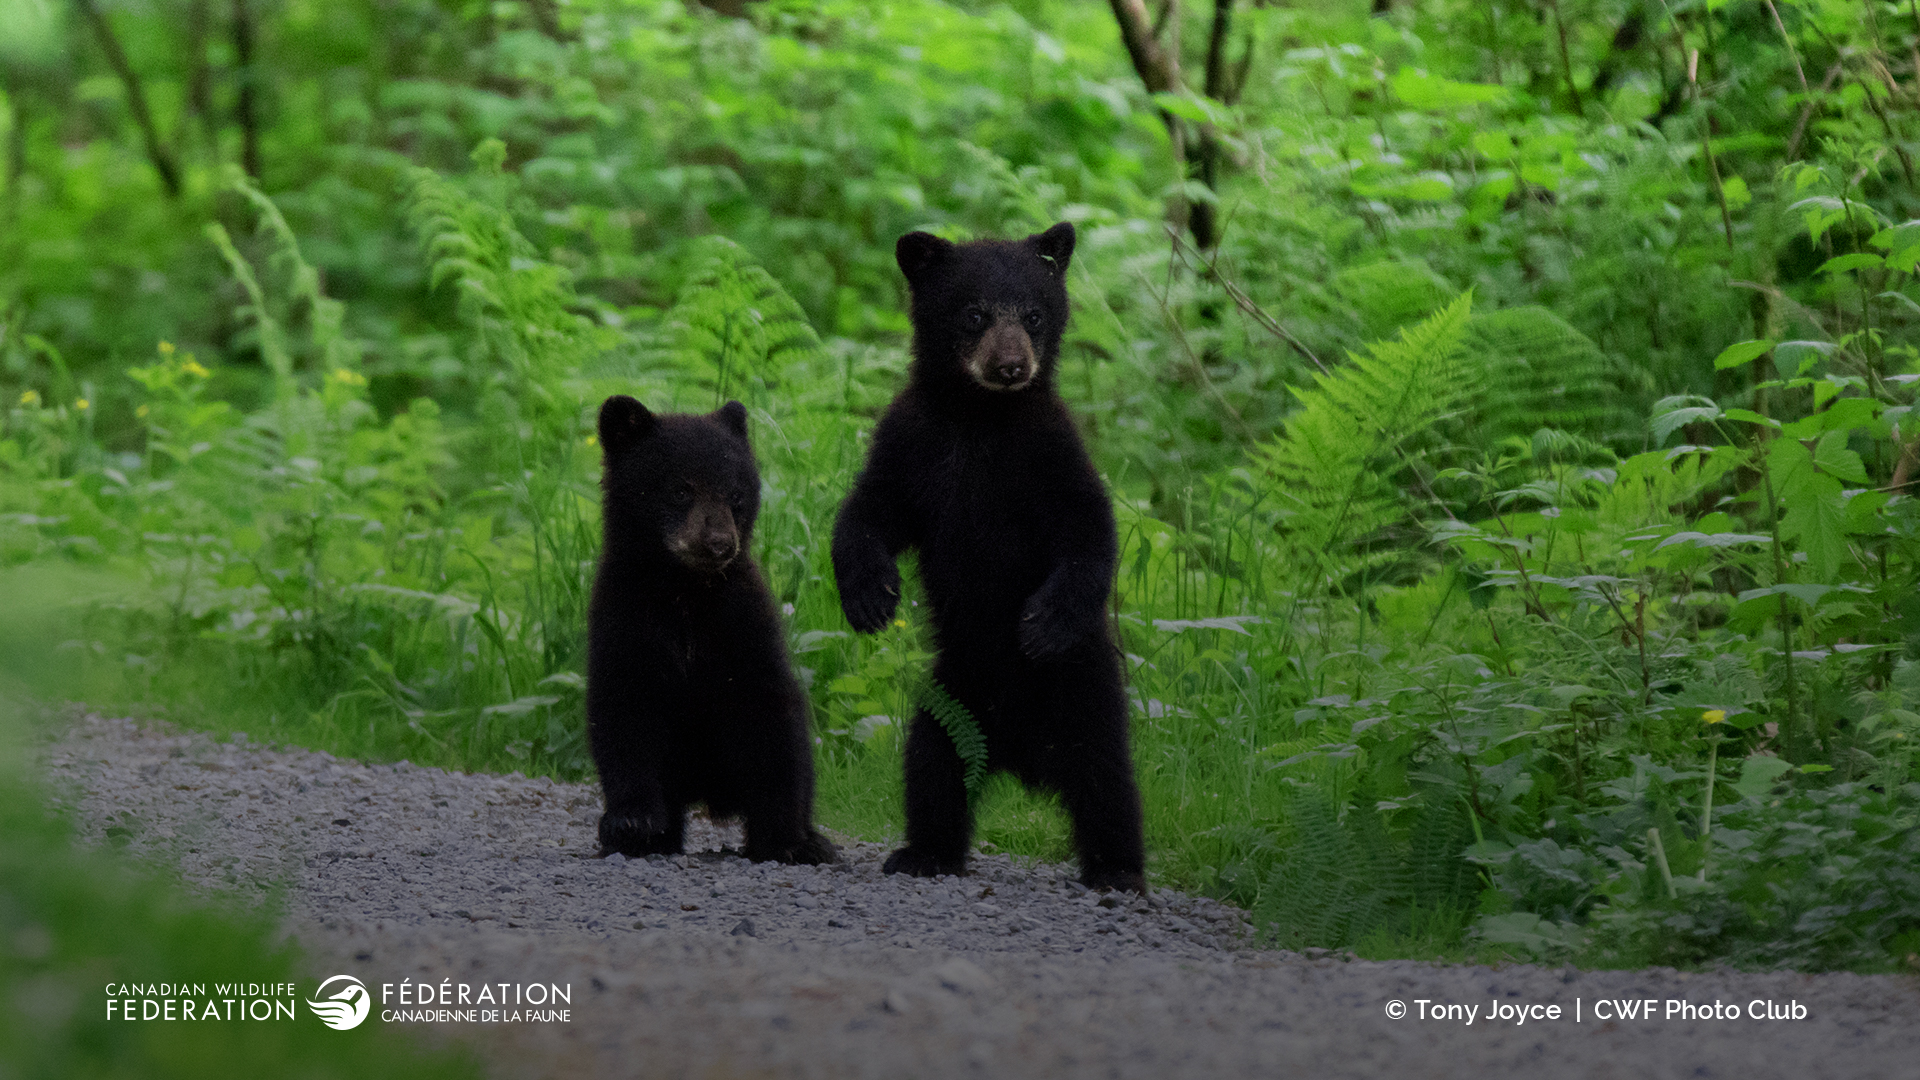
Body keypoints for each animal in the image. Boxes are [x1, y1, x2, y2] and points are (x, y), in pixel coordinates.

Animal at [588, 395, 836, 866]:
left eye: (736, 495)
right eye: (681, 490)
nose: (719, 543)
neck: (687, 592)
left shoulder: (742, 622)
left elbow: (774, 720)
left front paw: (790, 839)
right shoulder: (626, 617)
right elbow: (626, 713)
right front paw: (632, 823)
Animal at [830, 222, 1147, 893]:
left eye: (1033, 313)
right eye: (973, 313)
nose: (1010, 366)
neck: (983, 419)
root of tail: (1021, 758)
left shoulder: (1050, 452)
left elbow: (1088, 528)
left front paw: (1046, 622)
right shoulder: (914, 444)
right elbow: (869, 510)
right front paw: (870, 597)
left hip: (1087, 699)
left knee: (1108, 783)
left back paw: (1116, 869)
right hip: (950, 703)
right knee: (931, 771)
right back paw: (923, 852)